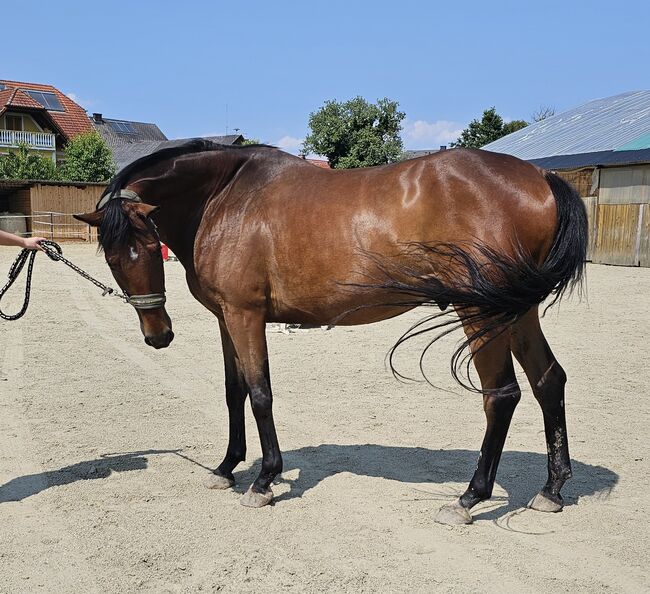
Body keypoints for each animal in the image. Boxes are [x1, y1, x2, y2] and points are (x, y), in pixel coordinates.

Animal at [73, 141, 584, 524]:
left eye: (148, 247)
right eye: (113, 257)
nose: (158, 335)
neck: (224, 197)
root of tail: (541, 178)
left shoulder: (245, 315)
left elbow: (260, 394)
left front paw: (264, 480)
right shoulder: (225, 318)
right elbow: (234, 391)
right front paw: (226, 467)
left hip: (480, 311)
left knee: (502, 395)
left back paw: (469, 499)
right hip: (517, 310)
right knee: (548, 381)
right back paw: (551, 490)